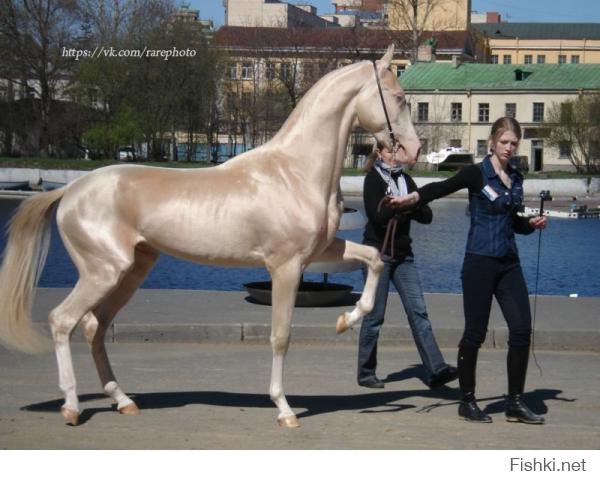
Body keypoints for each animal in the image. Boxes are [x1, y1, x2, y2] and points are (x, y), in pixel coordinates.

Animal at [0, 45, 420, 428]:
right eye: (400, 98)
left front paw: (346, 319)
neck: (295, 171)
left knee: (94, 327)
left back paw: (123, 401)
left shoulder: (319, 252)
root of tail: (70, 191)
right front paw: (284, 409)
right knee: (62, 321)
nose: (413, 151)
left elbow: (375, 259)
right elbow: (280, 335)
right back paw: (71, 407)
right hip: (103, 272)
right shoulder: (285, 266)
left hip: (130, 272)